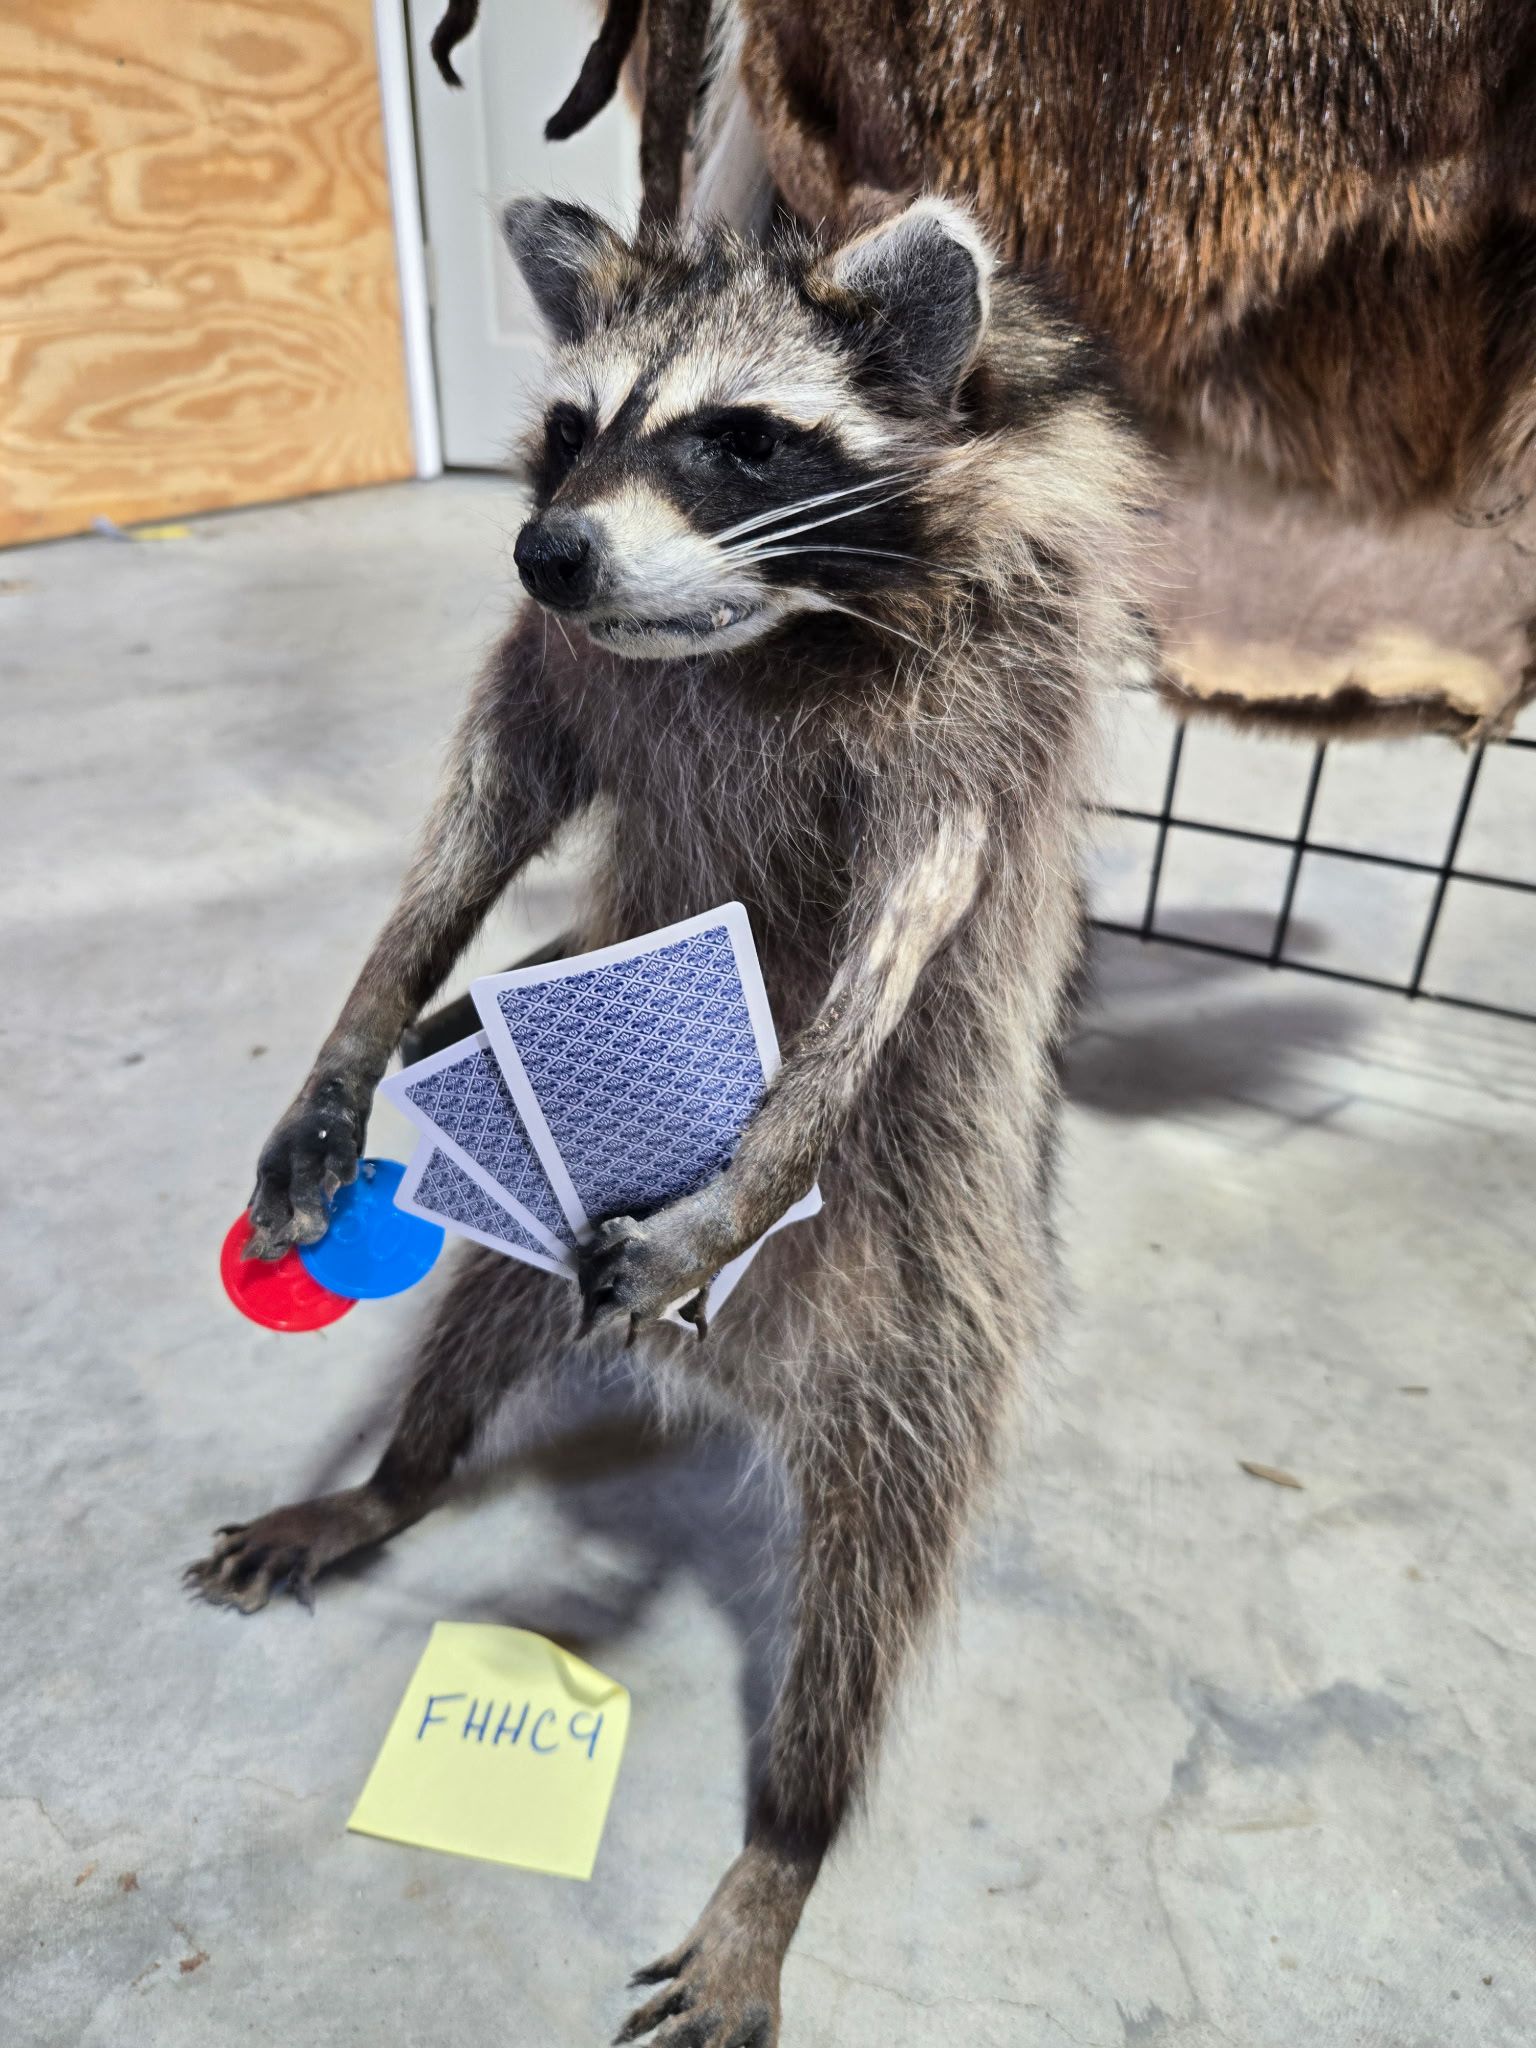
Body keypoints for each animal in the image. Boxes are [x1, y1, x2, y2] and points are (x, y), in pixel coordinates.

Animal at [188, 197, 1156, 2044]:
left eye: (740, 439)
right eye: (572, 427)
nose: (550, 553)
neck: (768, 627)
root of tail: (731, 1378)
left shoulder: (969, 718)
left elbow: (907, 922)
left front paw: (763, 1149)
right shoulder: (559, 677)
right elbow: (477, 818)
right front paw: (368, 1028)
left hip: (934, 1318)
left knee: (873, 1585)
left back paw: (791, 1830)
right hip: (530, 1268)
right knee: (473, 1325)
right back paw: (397, 1474)